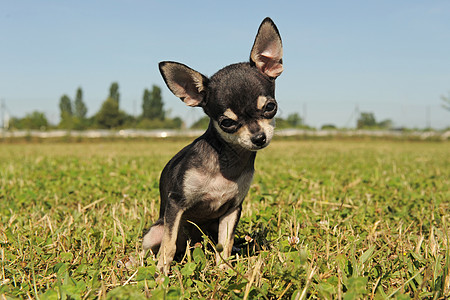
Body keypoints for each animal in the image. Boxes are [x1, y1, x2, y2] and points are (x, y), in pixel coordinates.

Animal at [142, 16, 284, 274]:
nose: (258, 138)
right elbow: (168, 247)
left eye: (270, 107)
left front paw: (224, 272)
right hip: (156, 230)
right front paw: (162, 274)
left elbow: (224, 245)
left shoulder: (232, 209)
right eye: (227, 123)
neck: (226, 161)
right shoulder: (176, 204)